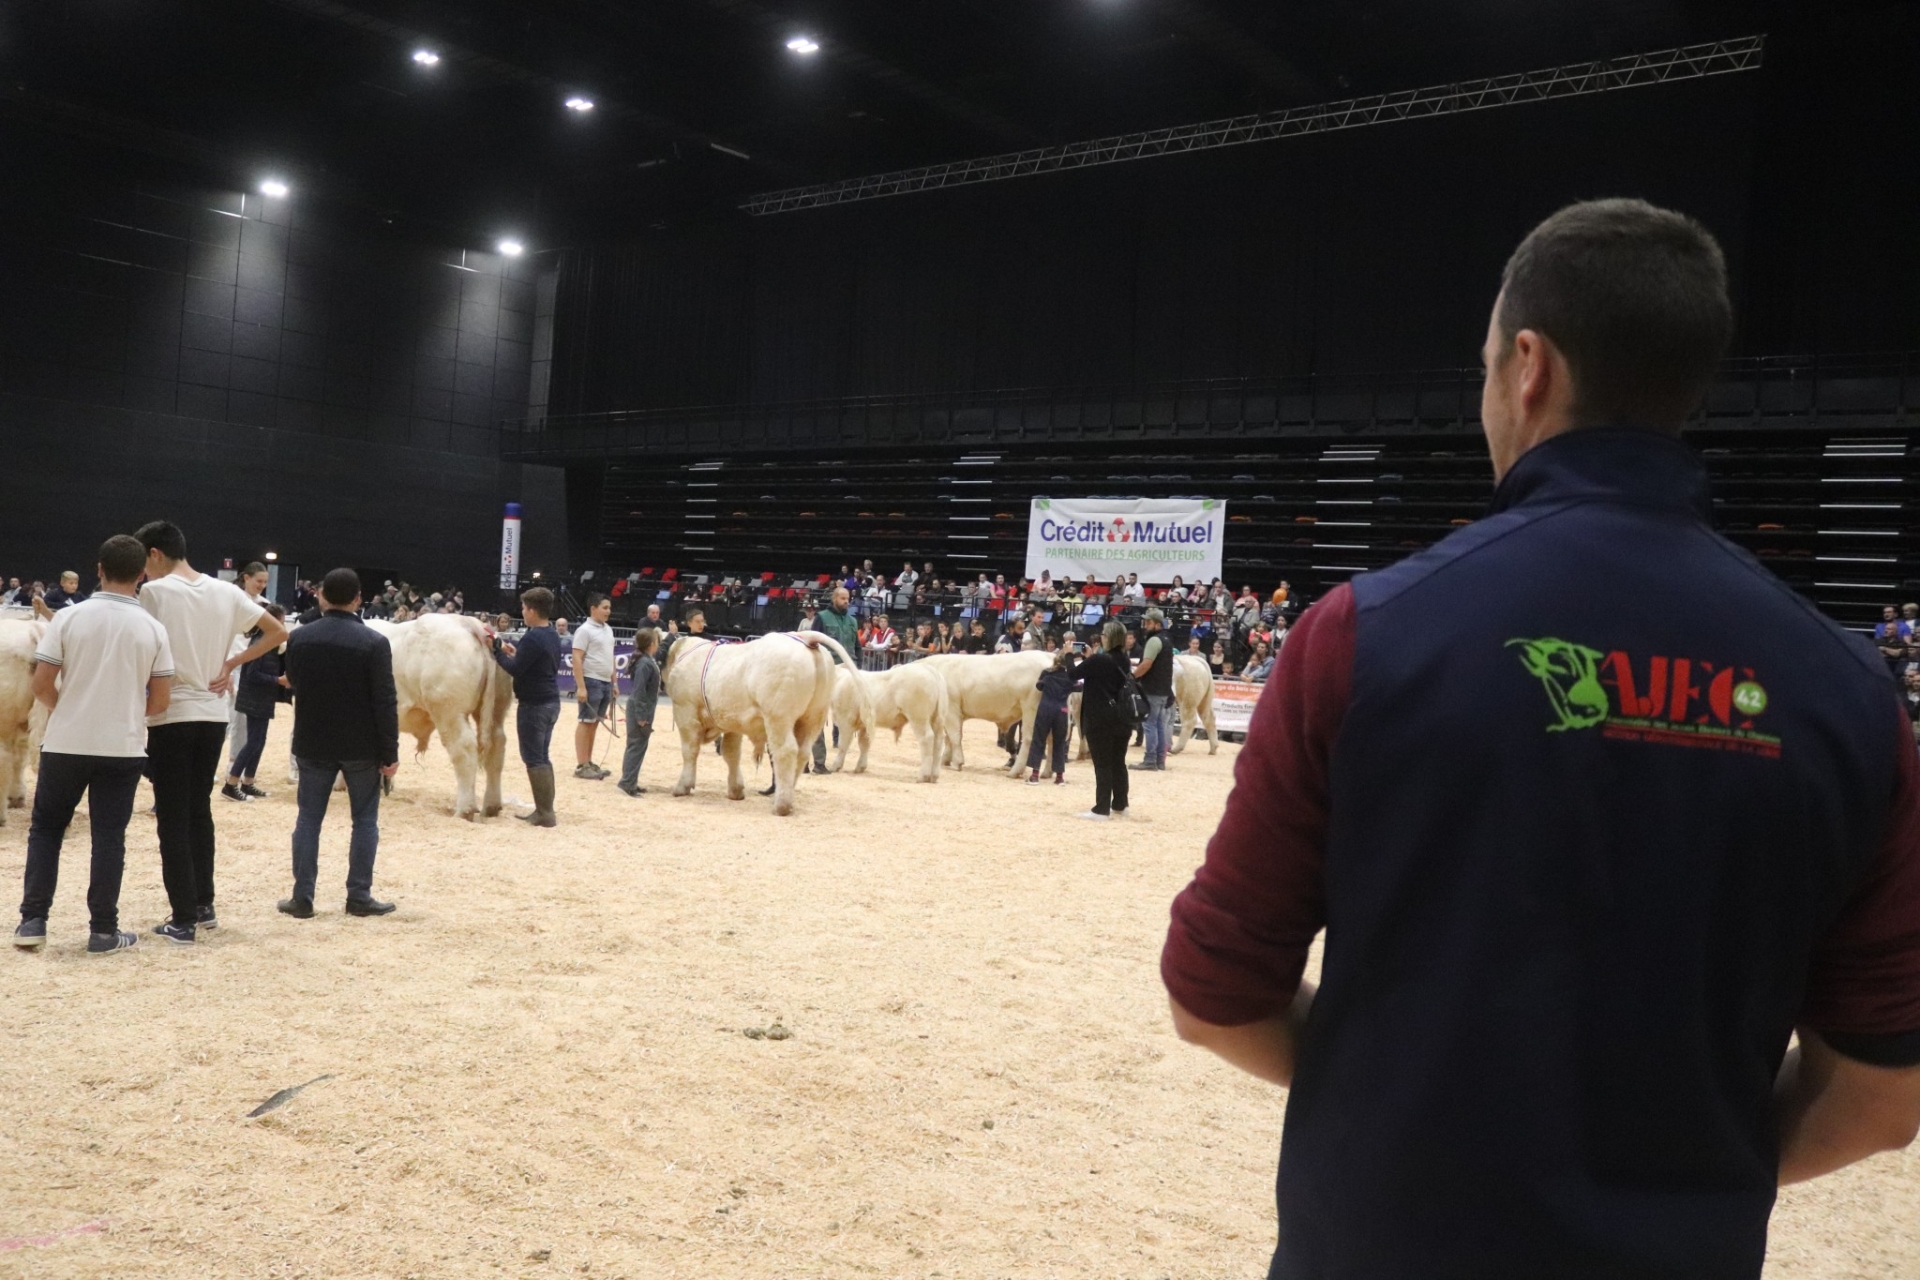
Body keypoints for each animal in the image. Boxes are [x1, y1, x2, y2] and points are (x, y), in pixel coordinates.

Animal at [366, 617, 514, 821]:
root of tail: (471, 623)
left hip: (449, 711)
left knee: (463, 748)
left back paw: (464, 810)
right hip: (497, 710)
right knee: (497, 746)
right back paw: (491, 807)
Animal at [664, 633, 852, 821]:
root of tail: (806, 638)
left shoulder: (685, 712)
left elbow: (689, 750)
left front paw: (682, 787)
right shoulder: (732, 721)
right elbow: (731, 753)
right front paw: (735, 791)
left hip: (778, 717)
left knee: (785, 751)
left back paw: (781, 806)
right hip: (813, 717)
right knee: (803, 753)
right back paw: (784, 797)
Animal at [913, 656, 1052, 775]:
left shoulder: (951, 709)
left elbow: (955, 736)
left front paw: (957, 763)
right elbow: (949, 738)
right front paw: (945, 760)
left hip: (1031, 710)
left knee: (1029, 739)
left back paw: (1015, 772)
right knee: (1052, 741)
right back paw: (1046, 773)